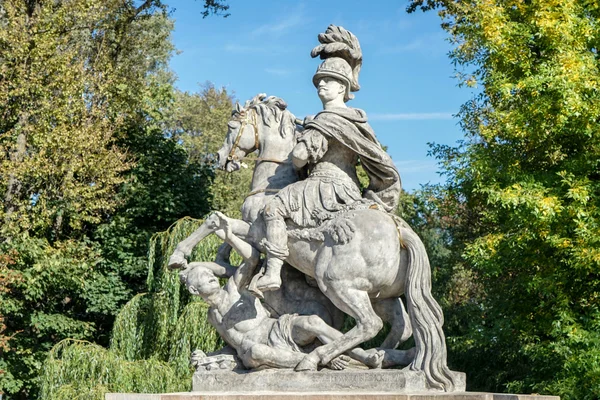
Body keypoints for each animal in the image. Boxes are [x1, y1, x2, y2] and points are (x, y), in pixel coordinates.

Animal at [169, 94, 460, 390]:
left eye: (231, 127)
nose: (220, 158)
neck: (274, 183)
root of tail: (400, 231)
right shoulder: (251, 231)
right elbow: (222, 228)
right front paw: (215, 260)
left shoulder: (257, 230)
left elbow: (218, 224)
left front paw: (179, 257)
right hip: (381, 294)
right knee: (402, 326)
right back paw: (378, 357)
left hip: (337, 284)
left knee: (370, 324)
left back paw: (318, 358)